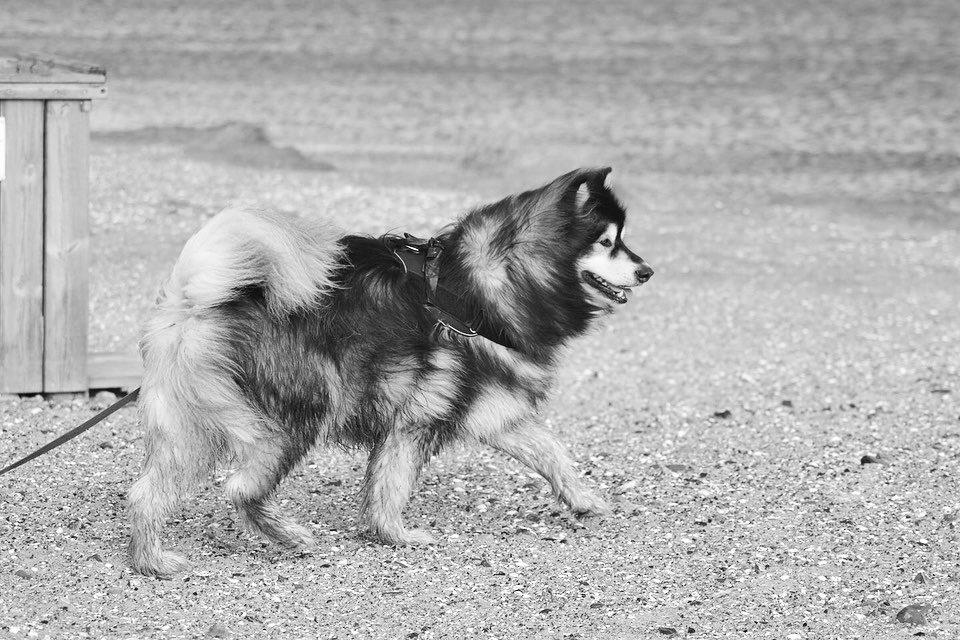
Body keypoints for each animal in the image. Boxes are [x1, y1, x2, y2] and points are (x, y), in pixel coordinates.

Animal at [127, 165, 652, 576]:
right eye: (607, 242)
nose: (647, 271)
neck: (477, 288)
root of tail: (195, 299)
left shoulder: (491, 410)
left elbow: (552, 453)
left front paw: (585, 500)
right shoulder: (419, 418)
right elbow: (393, 485)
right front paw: (399, 535)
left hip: (190, 430)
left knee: (145, 493)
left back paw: (152, 562)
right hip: (300, 414)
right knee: (240, 488)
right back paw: (290, 535)